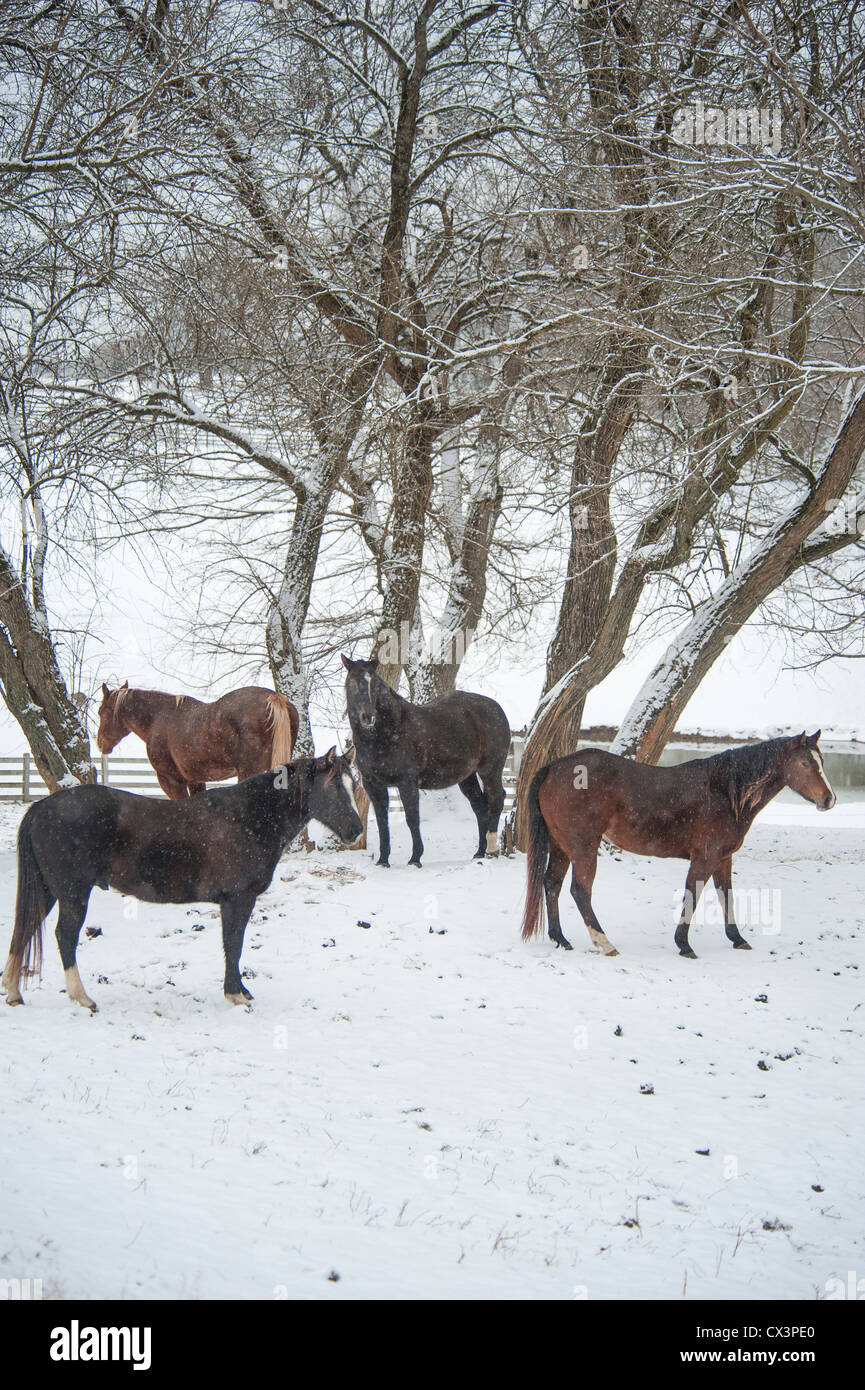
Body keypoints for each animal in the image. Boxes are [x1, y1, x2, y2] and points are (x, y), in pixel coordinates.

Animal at [0, 750, 361, 1011]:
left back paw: (14, 993)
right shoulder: (237, 899)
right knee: (64, 936)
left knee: (24, 929)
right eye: (332, 786)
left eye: (353, 784)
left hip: (47, 891)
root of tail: (40, 807)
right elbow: (234, 944)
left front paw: (241, 990)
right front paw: (235, 994)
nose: (355, 830)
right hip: (73, 893)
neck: (248, 819)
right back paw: (82, 998)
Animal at [97, 681, 300, 800]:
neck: (158, 718)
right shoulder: (195, 780)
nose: (100, 743)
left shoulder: (171, 780)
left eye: (101, 712)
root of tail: (274, 697)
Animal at [342, 653, 511, 867]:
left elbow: (412, 818)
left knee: (496, 799)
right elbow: (382, 822)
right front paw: (383, 860)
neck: (387, 732)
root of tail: (496, 708)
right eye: (352, 684)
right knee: (479, 806)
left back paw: (491, 849)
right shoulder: (374, 785)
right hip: (467, 777)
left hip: (490, 769)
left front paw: (415, 858)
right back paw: (479, 852)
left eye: (376, 685)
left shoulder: (407, 782)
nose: (368, 717)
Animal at [525, 739, 839, 956]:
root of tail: (554, 767)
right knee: (580, 891)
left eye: (822, 760)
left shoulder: (723, 859)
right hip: (584, 848)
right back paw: (604, 942)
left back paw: (560, 939)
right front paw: (684, 944)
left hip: (562, 846)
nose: (829, 799)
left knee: (551, 884)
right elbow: (693, 895)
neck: (726, 791)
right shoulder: (705, 858)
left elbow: (727, 897)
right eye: (804, 764)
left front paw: (737, 939)